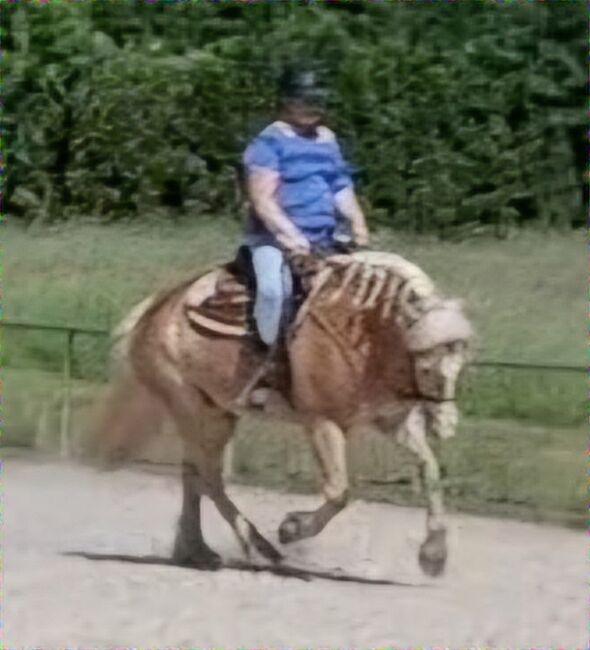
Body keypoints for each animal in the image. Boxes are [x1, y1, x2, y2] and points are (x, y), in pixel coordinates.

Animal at [97, 248, 476, 572]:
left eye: (461, 363)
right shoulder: (322, 422)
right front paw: (292, 528)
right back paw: (258, 546)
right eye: (426, 364)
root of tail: (153, 309)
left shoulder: (393, 421)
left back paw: (197, 550)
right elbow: (339, 491)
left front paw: (434, 554)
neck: (363, 330)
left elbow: (430, 471)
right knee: (208, 477)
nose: (447, 425)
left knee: (194, 475)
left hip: (216, 412)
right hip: (195, 410)